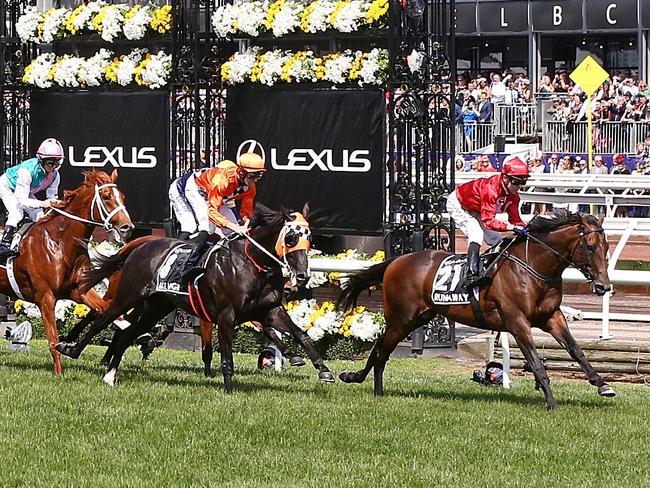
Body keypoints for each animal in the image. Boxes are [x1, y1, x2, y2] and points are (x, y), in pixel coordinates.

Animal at [0, 170, 132, 376]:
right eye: (106, 196)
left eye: (123, 197)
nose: (128, 227)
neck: (60, 243)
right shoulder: (46, 297)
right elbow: (52, 340)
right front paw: (59, 373)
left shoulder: (79, 290)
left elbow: (105, 310)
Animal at [55, 202, 334, 388]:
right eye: (291, 237)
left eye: (310, 238)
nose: (303, 276)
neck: (251, 264)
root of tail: (142, 245)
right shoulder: (225, 315)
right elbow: (227, 357)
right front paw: (229, 390)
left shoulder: (269, 310)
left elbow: (301, 335)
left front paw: (323, 370)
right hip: (129, 296)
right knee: (103, 319)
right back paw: (69, 348)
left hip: (157, 307)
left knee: (126, 334)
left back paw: (111, 375)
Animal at [336, 210, 616, 408]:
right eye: (590, 246)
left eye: (606, 247)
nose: (603, 286)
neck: (532, 267)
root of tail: (396, 260)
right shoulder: (517, 322)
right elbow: (536, 362)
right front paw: (551, 402)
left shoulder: (552, 317)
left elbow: (576, 350)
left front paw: (602, 385)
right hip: (402, 317)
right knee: (382, 350)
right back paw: (377, 391)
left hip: (418, 317)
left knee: (379, 345)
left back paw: (356, 378)